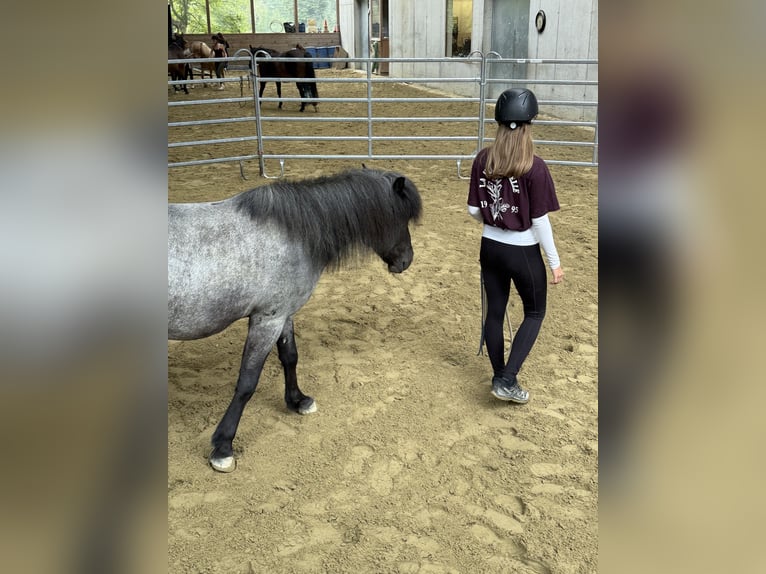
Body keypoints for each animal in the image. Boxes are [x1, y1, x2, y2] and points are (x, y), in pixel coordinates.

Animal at [168, 168, 422, 472]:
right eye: (399, 217)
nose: (406, 260)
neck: (291, 234)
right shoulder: (267, 320)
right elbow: (247, 382)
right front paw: (223, 446)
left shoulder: (283, 315)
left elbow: (290, 357)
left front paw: (298, 401)